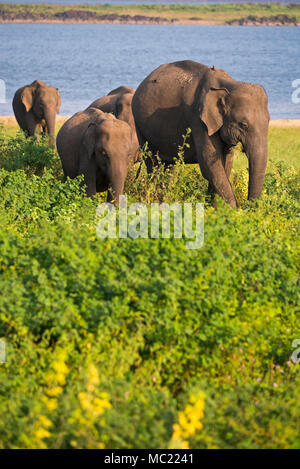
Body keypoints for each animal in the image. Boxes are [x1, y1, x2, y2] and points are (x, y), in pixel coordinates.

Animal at [132, 60, 270, 207]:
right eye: (243, 124)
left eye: (268, 121)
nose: (248, 206)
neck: (229, 85)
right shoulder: (198, 119)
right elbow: (209, 164)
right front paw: (232, 210)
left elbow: (225, 163)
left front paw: (215, 208)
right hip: (140, 126)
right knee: (153, 164)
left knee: (169, 167)